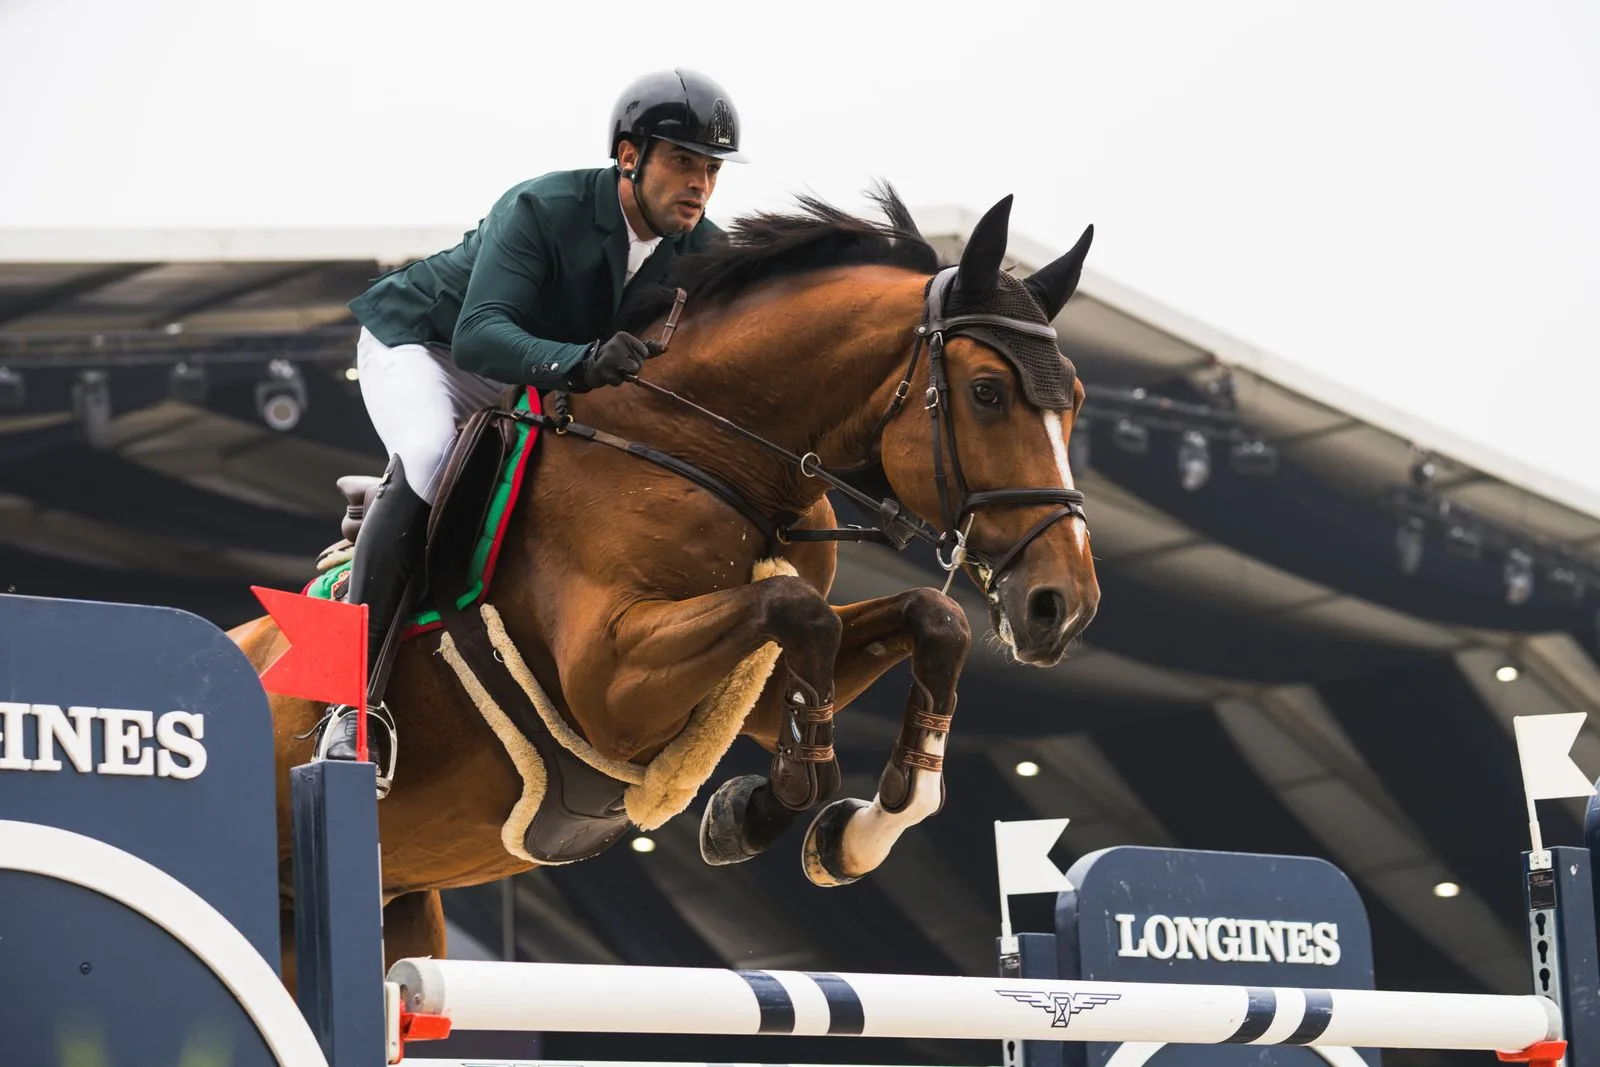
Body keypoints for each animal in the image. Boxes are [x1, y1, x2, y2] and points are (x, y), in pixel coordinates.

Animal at [228, 185, 1101, 988]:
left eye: (1079, 404)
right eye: (987, 392)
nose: (1063, 606)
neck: (704, 448)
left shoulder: (758, 684)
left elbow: (930, 617)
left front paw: (857, 829)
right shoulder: (608, 685)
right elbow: (798, 610)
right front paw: (761, 809)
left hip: (405, 912)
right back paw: (351, 733)